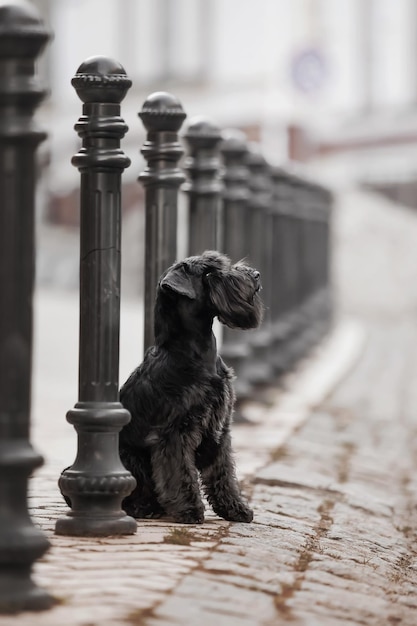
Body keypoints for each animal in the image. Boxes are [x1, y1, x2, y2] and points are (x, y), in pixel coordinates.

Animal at [119, 249, 264, 520]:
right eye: (209, 274)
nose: (256, 274)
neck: (193, 351)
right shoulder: (175, 432)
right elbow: (179, 472)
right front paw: (189, 509)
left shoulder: (220, 428)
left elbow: (223, 472)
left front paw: (235, 508)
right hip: (130, 458)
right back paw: (145, 508)